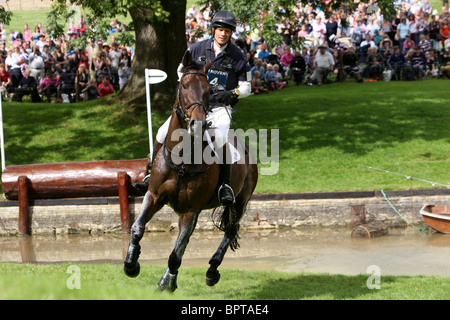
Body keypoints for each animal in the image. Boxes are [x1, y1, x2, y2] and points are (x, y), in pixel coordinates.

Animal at [123, 50, 258, 292]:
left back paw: (212, 270)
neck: (182, 157)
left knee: (230, 230)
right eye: (184, 86)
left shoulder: (191, 211)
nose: (198, 123)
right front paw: (131, 264)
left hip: (240, 202)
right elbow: (138, 228)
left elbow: (176, 253)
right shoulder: (154, 196)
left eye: (208, 90)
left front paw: (169, 284)